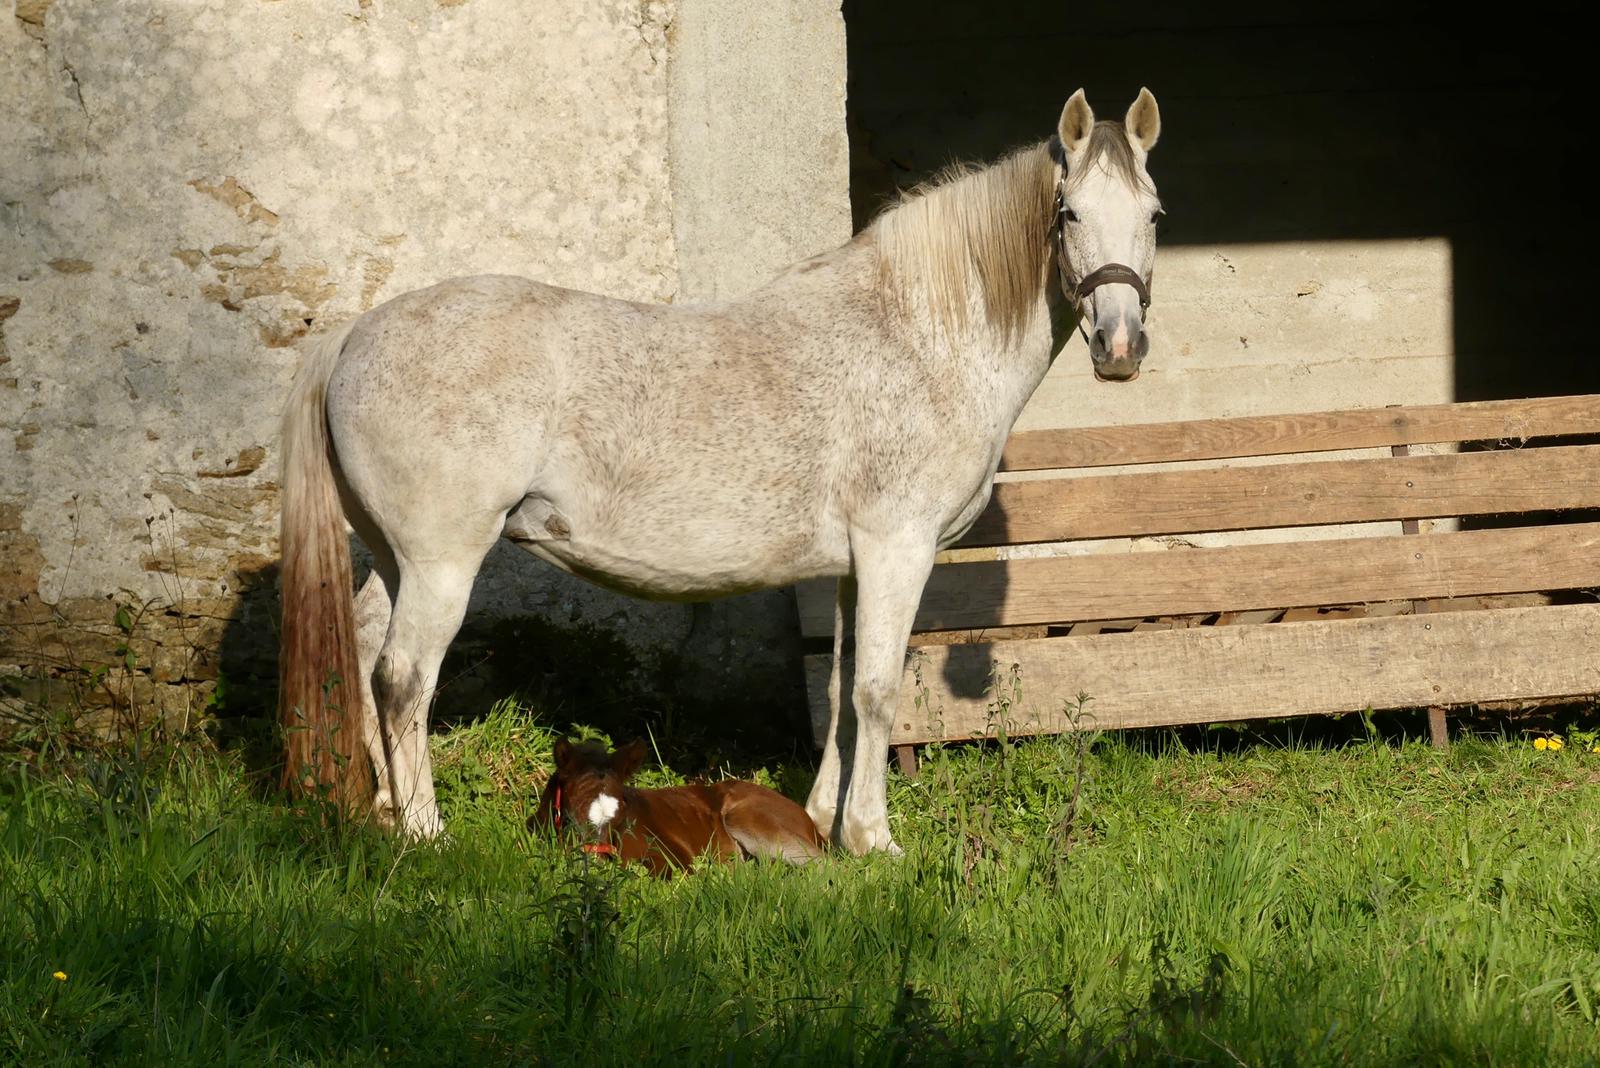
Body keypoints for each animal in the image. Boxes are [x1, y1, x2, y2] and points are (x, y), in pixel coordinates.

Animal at [281, 89, 1164, 850]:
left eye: (1153, 215)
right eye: (1069, 212)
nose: (1120, 347)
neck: (917, 336)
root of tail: (355, 334)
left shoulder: (854, 567)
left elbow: (840, 690)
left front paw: (822, 825)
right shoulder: (897, 549)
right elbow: (878, 693)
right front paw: (873, 840)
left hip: (397, 559)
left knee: (366, 656)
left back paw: (384, 813)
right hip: (443, 561)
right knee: (403, 678)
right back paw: (425, 832)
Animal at [531, 735, 832, 876]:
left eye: (622, 819)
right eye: (566, 818)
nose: (595, 869)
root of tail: (807, 819)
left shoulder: (675, 857)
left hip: (751, 820)